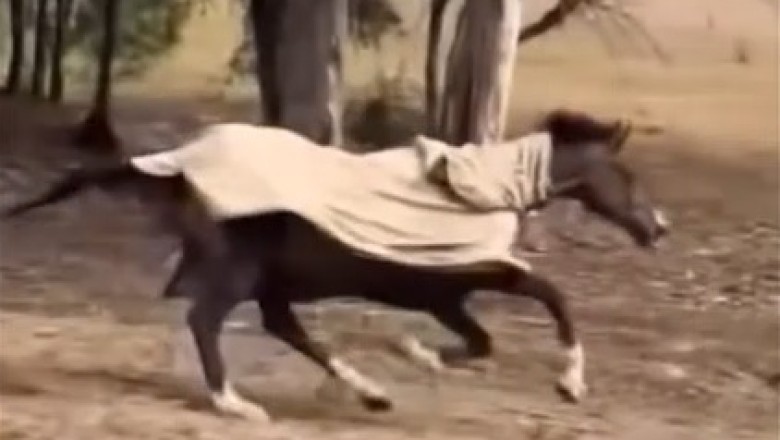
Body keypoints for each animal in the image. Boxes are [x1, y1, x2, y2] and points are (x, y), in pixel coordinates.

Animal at [2, 110, 669, 423]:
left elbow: (483, 341)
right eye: (626, 175)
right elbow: (553, 298)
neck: (487, 187)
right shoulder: (470, 278)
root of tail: (176, 163)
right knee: (206, 321)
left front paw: (417, 355)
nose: (658, 227)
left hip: (270, 280)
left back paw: (371, 393)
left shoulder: (443, 298)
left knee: (284, 328)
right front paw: (570, 384)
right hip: (239, 271)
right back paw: (235, 404)